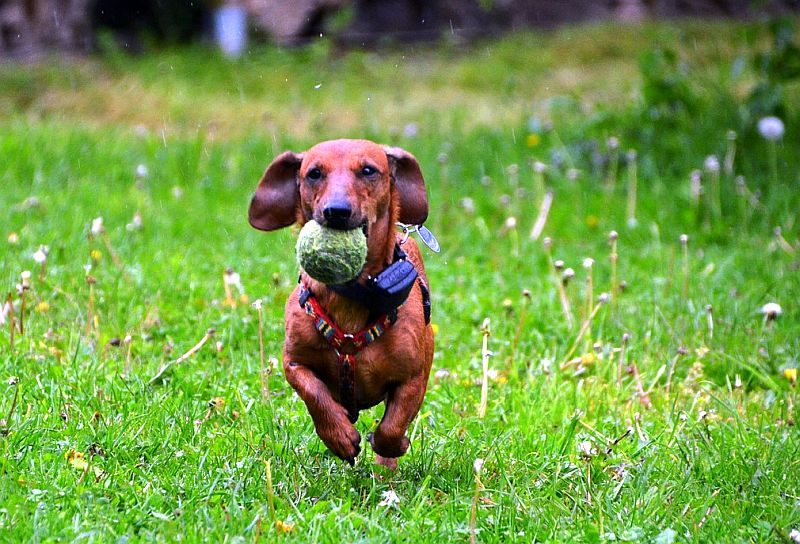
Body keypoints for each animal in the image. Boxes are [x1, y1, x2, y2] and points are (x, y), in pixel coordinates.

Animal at [252, 139, 434, 468]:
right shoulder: (294, 362)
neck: (353, 294)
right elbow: (315, 394)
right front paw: (338, 436)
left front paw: (393, 445)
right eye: (313, 173)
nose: (336, 211)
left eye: (368, 170)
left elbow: (392, 427)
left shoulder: (413, 377)